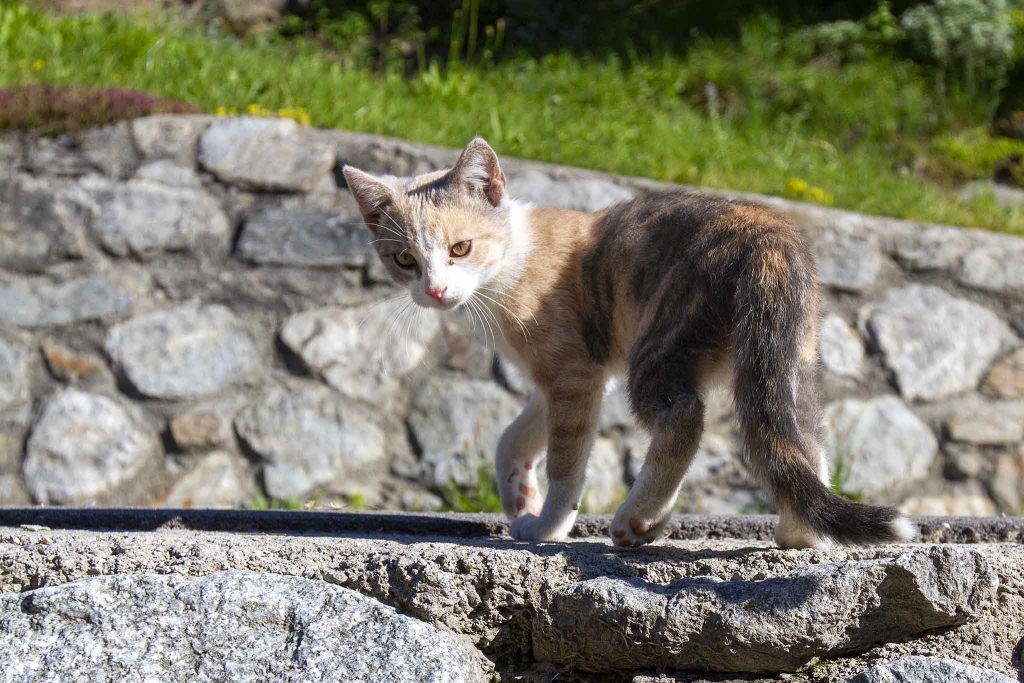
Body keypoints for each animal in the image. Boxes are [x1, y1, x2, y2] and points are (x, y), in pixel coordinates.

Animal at [344, 139, 913, 548]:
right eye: (404, 260)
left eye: (460, 248)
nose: (435, 290)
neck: (510, 261)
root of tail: (768, 233)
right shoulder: (566, 377)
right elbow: (514, 435)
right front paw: (518, 496)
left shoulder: (573, 373)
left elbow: (566, 459)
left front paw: (547, 525)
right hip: (791, 356)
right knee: (799, 438)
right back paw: (801, 532)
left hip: (660, 339)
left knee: (684, 417)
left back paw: (637, 518)